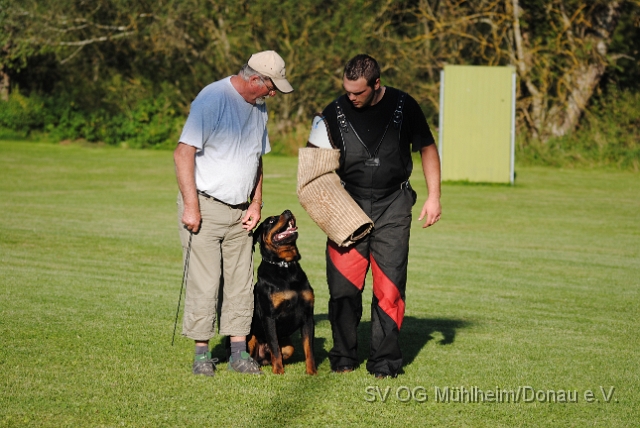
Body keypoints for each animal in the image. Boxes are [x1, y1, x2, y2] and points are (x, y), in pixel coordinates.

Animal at [251, 211, 318, 374]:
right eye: (270, 221)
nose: (288, 211)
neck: (285, 265)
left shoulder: (307, 315)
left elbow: (309, 348)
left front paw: (312, 372)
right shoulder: (269, 316)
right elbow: (275, 347)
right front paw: (279, 372)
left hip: (288, 346)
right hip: (251, 336)